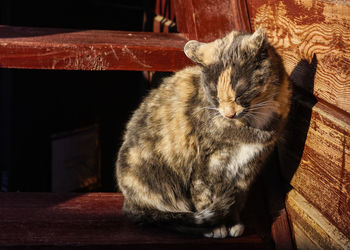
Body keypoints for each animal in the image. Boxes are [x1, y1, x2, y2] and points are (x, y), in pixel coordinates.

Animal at [116, 27, 292, 238]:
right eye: (215, 95)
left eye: (240, 93)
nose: (228, 113)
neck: (252, 126)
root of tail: (128, 202)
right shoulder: (205, 166)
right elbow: (205, 198)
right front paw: (216, 228)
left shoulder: (247, 168)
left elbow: (236, 201)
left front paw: (234, 224)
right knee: (166, 217)